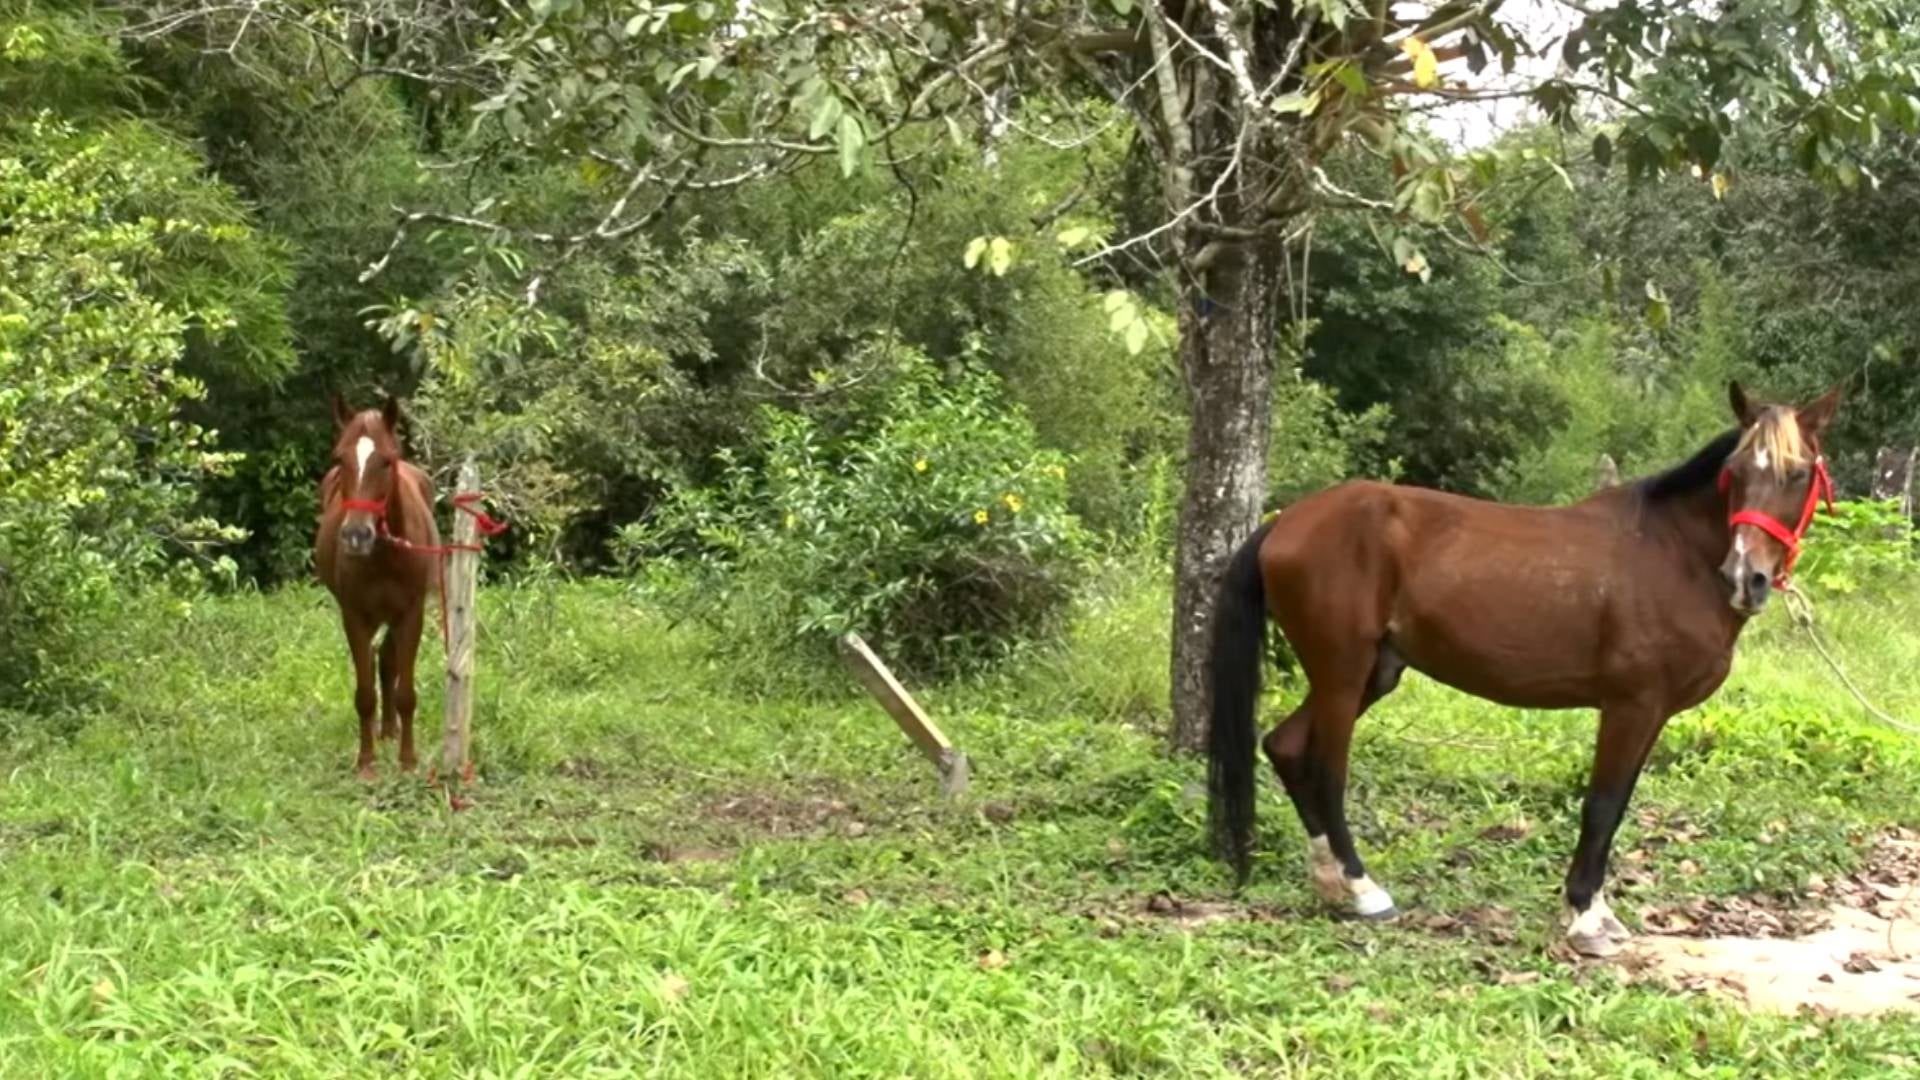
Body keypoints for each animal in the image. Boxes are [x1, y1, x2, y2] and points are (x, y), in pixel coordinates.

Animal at [314, 395, 441, 779]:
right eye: (339, 458)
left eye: (386, 460)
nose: (356, 535)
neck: (386, 555)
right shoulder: (354, 616)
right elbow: (365, 693)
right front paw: (366, 762)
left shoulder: (411, 614)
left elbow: (406, 693)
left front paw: (408, 761)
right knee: (377, 662)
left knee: (387, 661)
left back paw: (390, 730)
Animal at [1207, 380, 1841, 956]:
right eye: (1736, 471)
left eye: (1798, 474)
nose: (1745, 577)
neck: (1673, 552)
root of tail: (1286, 522)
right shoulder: (1631, 706)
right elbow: (1602, 805)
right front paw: (1584, 919)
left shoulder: (1651, 714)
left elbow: (1617, 807)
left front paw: (1596, 910)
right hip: (1342, 673)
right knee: (1325, 768)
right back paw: (1363, 891)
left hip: (1371, 675)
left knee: (1285, 746)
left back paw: (1330, 885)